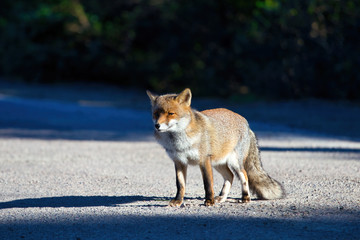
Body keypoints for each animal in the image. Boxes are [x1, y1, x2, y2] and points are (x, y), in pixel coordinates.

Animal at [146, 88, 284, 206]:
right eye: (156, 114)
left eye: (171, 113)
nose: (157, 125)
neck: (179, 143)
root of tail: (246, 122)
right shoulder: (179, 162)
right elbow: (180, 185)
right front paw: (178, 201)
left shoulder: (204, 160)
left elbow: (208, 184)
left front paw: (209, 201)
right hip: (218, 163)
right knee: (230, 176)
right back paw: (222, 198)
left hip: (234, 163)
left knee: (243, 175)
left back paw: (245, 197)